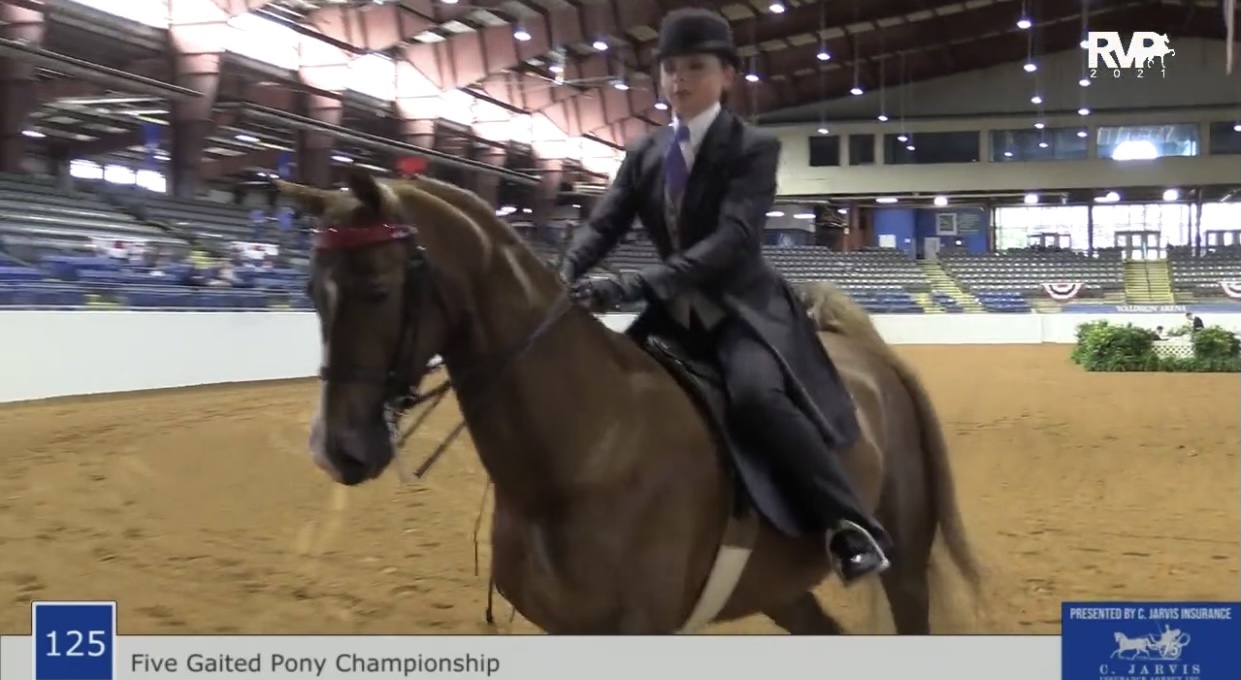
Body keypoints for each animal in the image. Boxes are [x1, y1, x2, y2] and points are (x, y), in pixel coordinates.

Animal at [278, 170, 981, 634]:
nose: (335, 449)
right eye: (311, 290)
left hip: (904, 566)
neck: (587, 449)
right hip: (780, 588)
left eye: (377, 289)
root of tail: (870, 358)